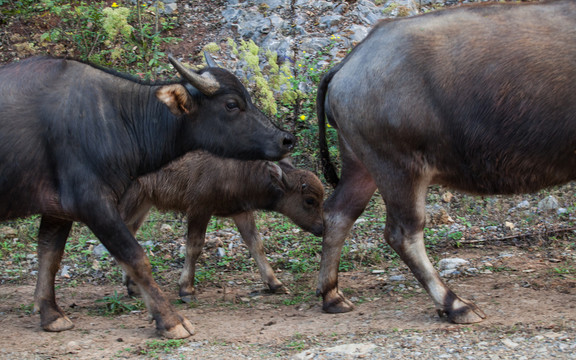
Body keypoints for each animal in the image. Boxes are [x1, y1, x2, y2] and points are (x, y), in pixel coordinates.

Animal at [0, 54, 294, 338]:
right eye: (232, 104)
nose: (286, 139)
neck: (117, 119)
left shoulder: (57, 209)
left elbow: (49, 255)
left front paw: (50, 314)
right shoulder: (92, 202)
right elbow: (137, 257)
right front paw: (171, 319)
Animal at [118, 150, 324, 302]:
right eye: (310, 200)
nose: (322, 228)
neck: (239, 170)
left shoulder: (241, 212)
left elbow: (256, 244)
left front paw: (275, 283)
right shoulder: (199, 208)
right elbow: (194, 246)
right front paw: (186, 289)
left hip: (144, 201)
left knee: (129, 232)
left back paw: (132, 285)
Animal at [318, 0, 576, 324]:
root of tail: (350, 61)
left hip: (361, 164)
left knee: (339, 213)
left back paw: (332, 296)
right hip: (399, 167)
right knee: (403, 233)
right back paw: (455, 304)